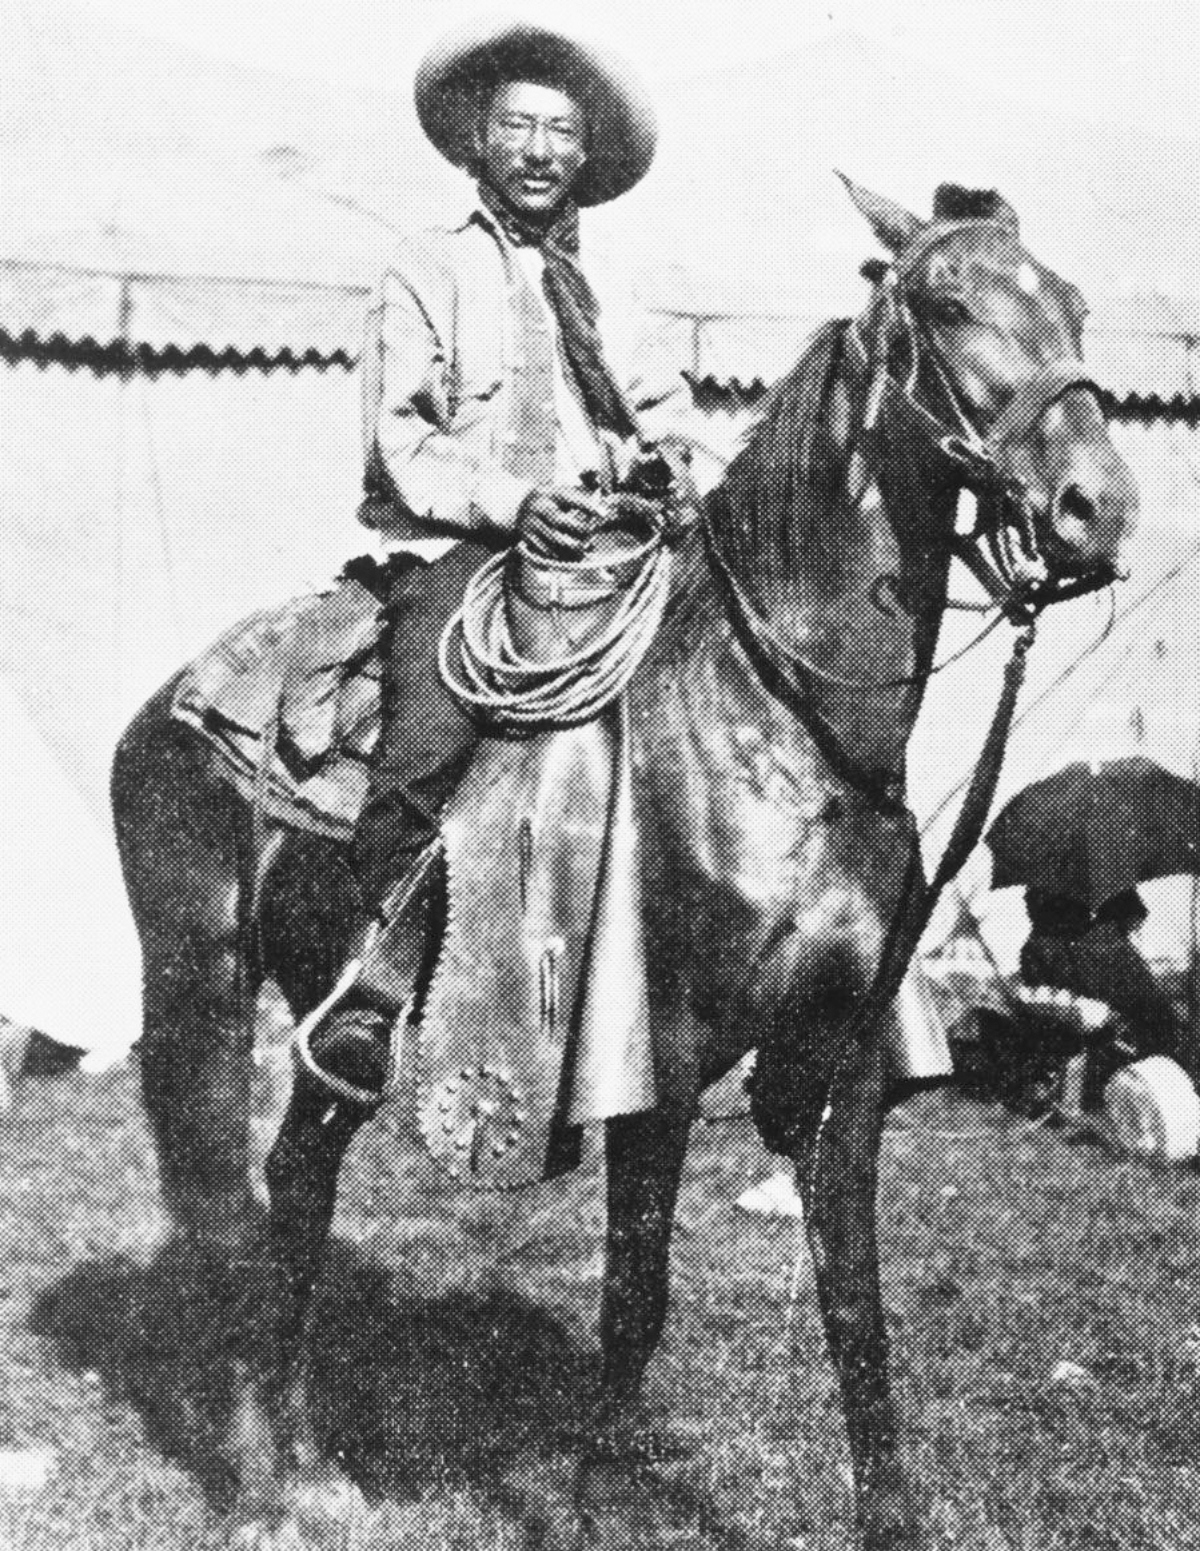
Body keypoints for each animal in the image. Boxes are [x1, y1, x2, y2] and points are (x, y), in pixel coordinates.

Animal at [110, 176, 1134, 1544]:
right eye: (950, 303)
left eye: (1074, 305)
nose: (1099, 507)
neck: (781, 721)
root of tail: (171, 697)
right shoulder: (663, 1052)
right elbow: (636, 1298)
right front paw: (596, 1504)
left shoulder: (846, 1067)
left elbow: (857, 1315)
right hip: (198, 984)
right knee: (222, 1201)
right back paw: (259, 1482)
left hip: (328, 1027)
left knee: (297, 1176)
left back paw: (312, 1463)